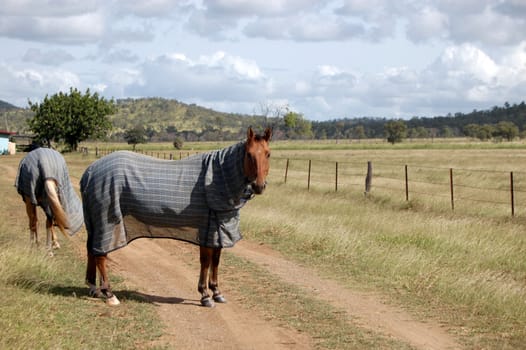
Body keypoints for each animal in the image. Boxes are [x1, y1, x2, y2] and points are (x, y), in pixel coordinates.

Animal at [80, 126, 274, 306]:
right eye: (249, 154)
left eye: (268, 154)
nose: (259, 186)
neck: (219, 177)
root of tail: (90, 171)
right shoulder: (206, 229)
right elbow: (206, 261)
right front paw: (205, 295)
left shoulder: (218, 230)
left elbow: (216, 260)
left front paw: (217, 292)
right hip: (106, 220)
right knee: (100, 254)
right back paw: (109, 294)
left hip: (95, 221)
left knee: (91, 251)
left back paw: (94, 288)